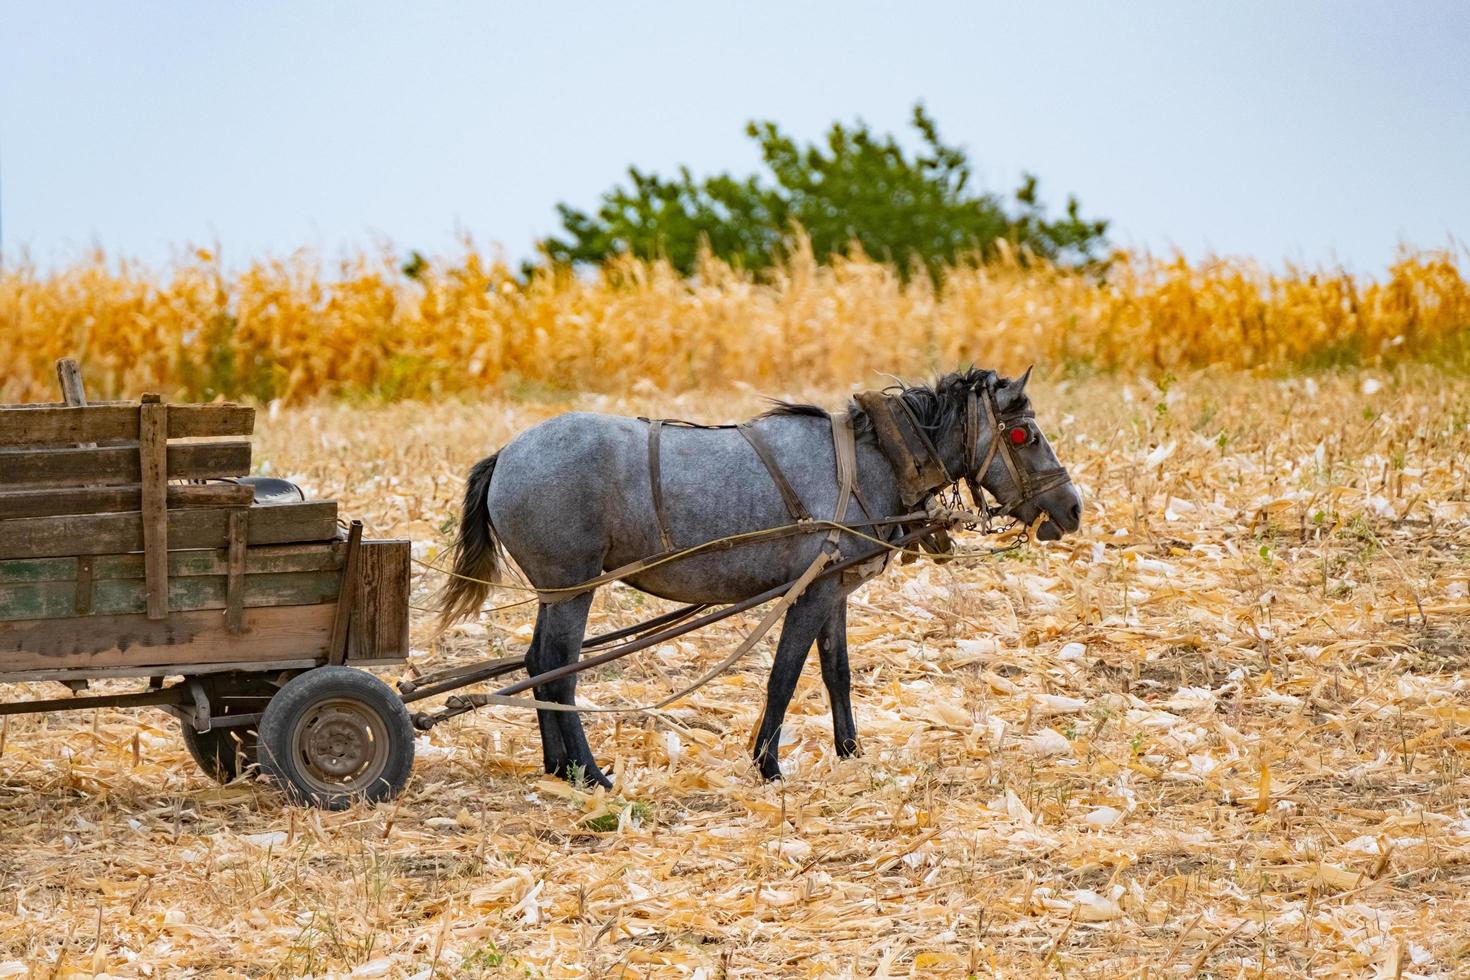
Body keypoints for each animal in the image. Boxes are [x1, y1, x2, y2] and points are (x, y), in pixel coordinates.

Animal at [432, 364, 1081, 787]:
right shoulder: (811, 592)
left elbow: (837, 674)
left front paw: (851, 752)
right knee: (559, 673)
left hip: (556, 590)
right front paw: (767, 764)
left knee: (537, 663)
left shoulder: (835, 591)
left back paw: (558, 768)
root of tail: (507, 454)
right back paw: (589, 773)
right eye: (1023, 433)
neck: (871, 460)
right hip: (572, 587)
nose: (1072, 509)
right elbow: (784, 677)